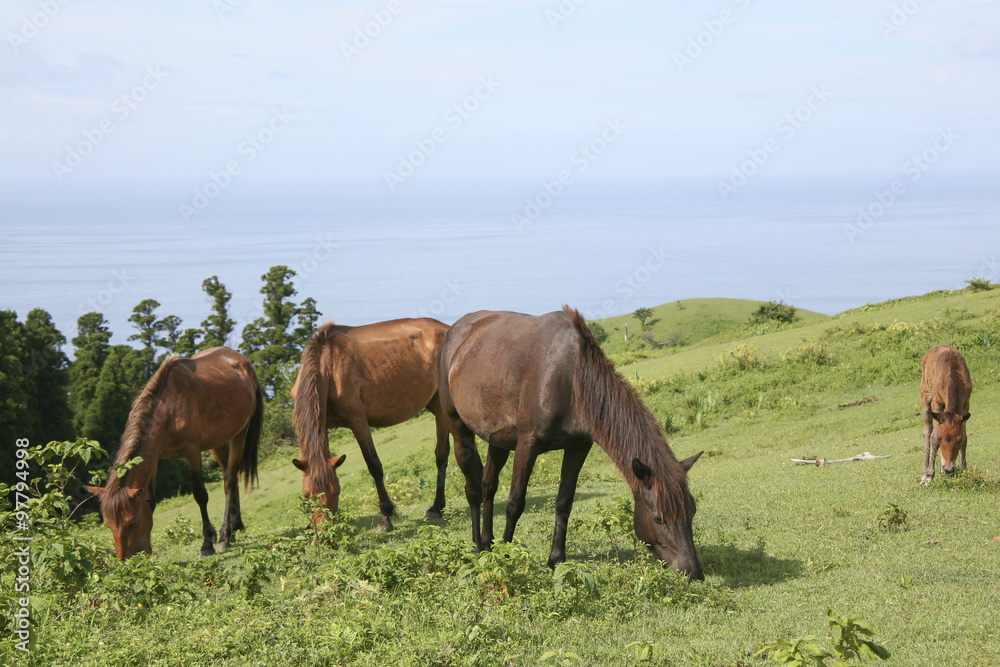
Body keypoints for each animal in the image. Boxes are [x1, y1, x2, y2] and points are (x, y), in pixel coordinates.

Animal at [87, 348, 262, 560]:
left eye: (132, 522)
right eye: (108, 524)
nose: (127, 560)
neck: (168, 407)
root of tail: (241, 360)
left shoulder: (192, 452)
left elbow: (200, 495)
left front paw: (207, 544)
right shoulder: (155, 459)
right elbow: (150, 500)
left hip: (240, 433)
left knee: (229, 483)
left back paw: (224, 536)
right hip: (217, 442)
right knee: (231, 478)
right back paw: (234, 529)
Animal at [292, 318, 452, 532]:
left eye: (336, 491)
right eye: (307, 495)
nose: (325, 530)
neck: (328, 367)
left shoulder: (358, 421)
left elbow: (374, 466)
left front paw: (385, 518)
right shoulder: (323, 424)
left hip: (442, 407)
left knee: (441, 455)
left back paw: (436, 508)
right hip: (435, 404)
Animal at [438, 304, 704, 580]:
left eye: (692, 510)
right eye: (659, 518)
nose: (694, 572)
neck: (572, 376)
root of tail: (454, 332)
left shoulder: (578, 447)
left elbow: (564, 501)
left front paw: (556, 560)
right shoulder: (527, 443)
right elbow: (515, 503)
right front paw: (507, 556)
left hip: (498, 439)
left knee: (488, 485)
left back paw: (488, 543)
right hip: (459, 429)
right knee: (473, 490)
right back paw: (477, 546)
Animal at [916, 344, 972, 486]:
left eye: (958, 440)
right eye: (941, 439)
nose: (949, 469)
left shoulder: (965, 404)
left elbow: (966, 438)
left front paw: (964, 470)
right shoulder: (937, 402)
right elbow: (933, 437)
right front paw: (929, 475)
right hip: (925, 395)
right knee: (927, 430)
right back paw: (924, 473)